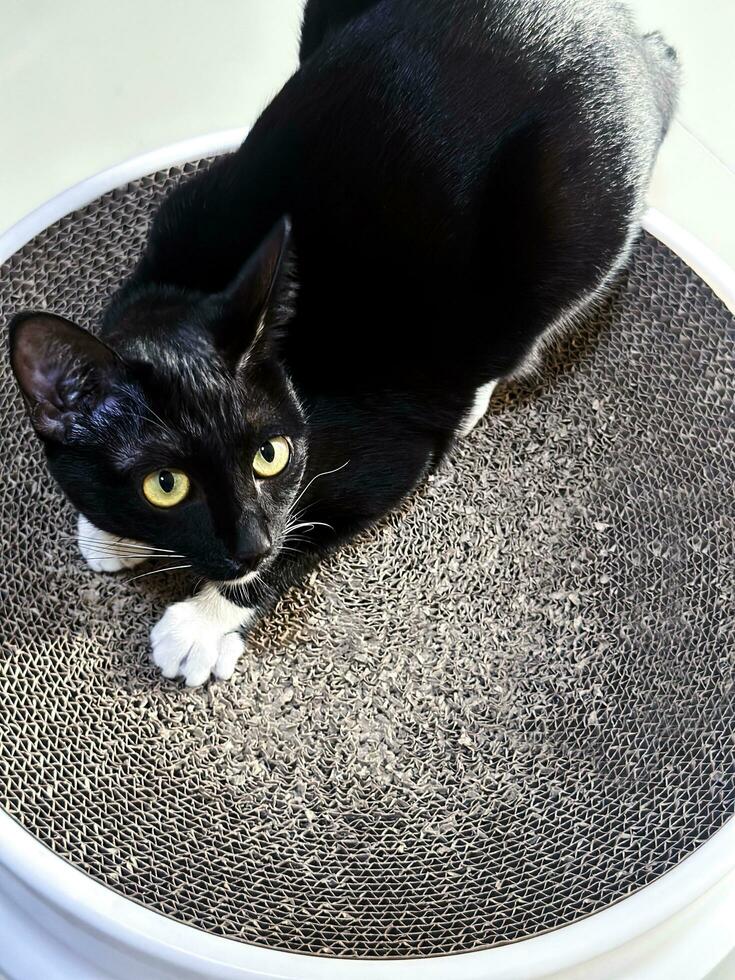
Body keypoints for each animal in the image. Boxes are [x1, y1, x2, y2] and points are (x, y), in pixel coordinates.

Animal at [10, 0, 680, 684]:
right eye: (165, 486)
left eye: (270, 455)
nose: (251, 545)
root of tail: (636, 43)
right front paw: (111, 532)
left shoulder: (386, 451)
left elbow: (307, 532)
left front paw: (202, 622)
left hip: (571, 220)